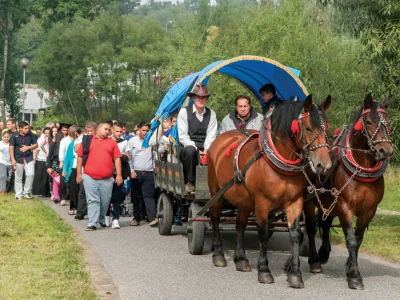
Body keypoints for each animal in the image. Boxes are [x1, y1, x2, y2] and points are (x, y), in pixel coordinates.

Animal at [208, 95, 332, 288]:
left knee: (240, 224)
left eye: (327, 127)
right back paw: (219, 255)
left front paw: (295, 274)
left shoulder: (295, 202)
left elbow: (295, 234)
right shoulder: (262, 203)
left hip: (243, 200)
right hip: (216, 192)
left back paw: (241, 259)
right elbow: (264, 233)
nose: (324, 165)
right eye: (309, 128)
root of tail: (222, 139)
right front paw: (264, 271)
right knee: (214, 218)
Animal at [304, 93, 392, 288]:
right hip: (310, 200)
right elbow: (350, 240)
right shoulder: (345, 207)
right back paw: (314, 261)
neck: (361, 169)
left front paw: (350, 266)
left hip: (329, 201)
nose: (385, 151)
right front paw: (354, 276)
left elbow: (358, 240)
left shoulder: (369, 211)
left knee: (325, 224)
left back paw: (324, 253)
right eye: (368, 121)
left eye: (389, 122)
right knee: (310, 228)